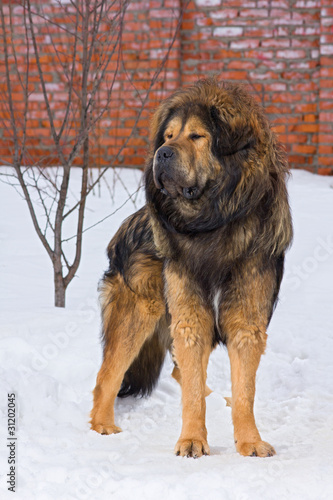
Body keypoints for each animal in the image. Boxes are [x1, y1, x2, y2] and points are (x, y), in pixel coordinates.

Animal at [89, 80, 292, 458]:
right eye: (168, 136)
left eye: (197, 136)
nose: (162, 153)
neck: (213, 221)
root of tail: (126, 226)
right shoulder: (190, 315)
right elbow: (193, 390)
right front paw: (192, 440)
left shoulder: (246, 318)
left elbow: (244, 390)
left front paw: (249, 441)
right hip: (138, 312)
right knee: (107, 375)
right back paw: (103, 425)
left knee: (178, 374)